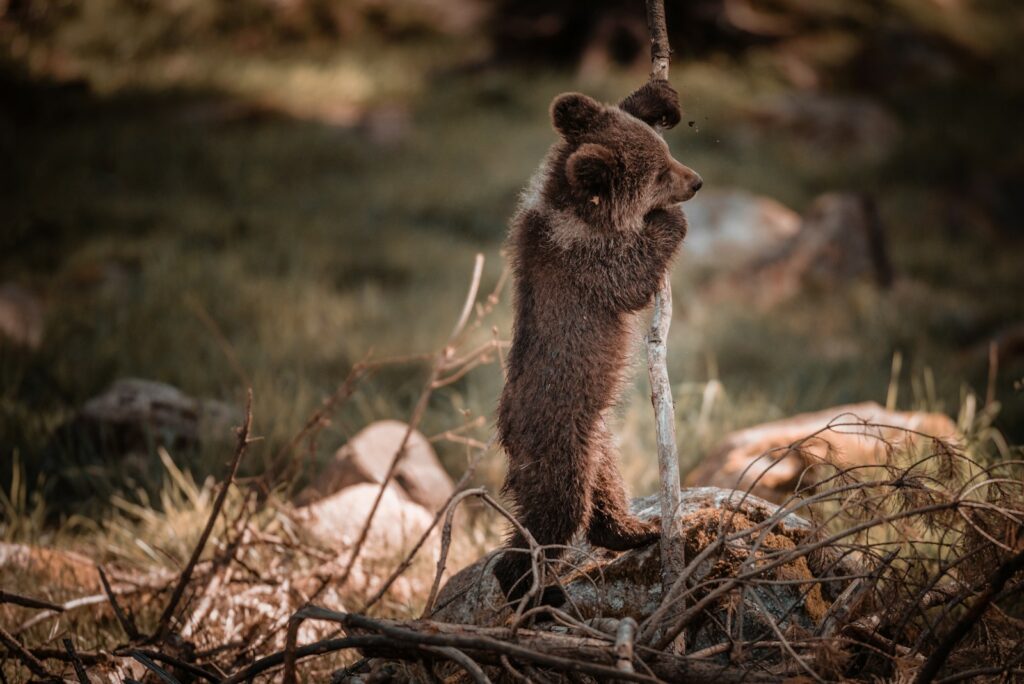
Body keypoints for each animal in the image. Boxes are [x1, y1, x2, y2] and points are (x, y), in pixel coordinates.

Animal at [493, 79, 703, 608]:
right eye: (659, 175)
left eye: (667, 153)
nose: (696, 181)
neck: (579, 211)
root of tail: (507, 433)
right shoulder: (585, 262)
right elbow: (630, 276)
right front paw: (669, 221)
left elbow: (596, 110)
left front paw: (657, 96)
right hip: (558, 439)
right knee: (556, 513)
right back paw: (534, 593)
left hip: (599, 442)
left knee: (603, 493)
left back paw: (635, 530)